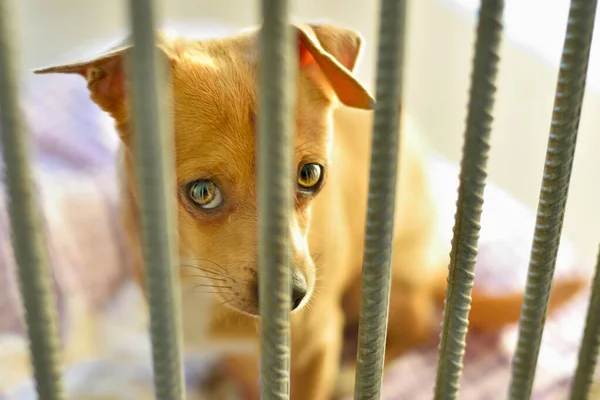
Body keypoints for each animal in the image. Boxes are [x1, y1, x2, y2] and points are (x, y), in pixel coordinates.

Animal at [35, 21, 588, 400]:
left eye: (310, 175)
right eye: (201, 192)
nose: (294, 297)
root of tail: (436, 268)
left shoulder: (312, 347)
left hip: (384, 284)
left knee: (413, 325)